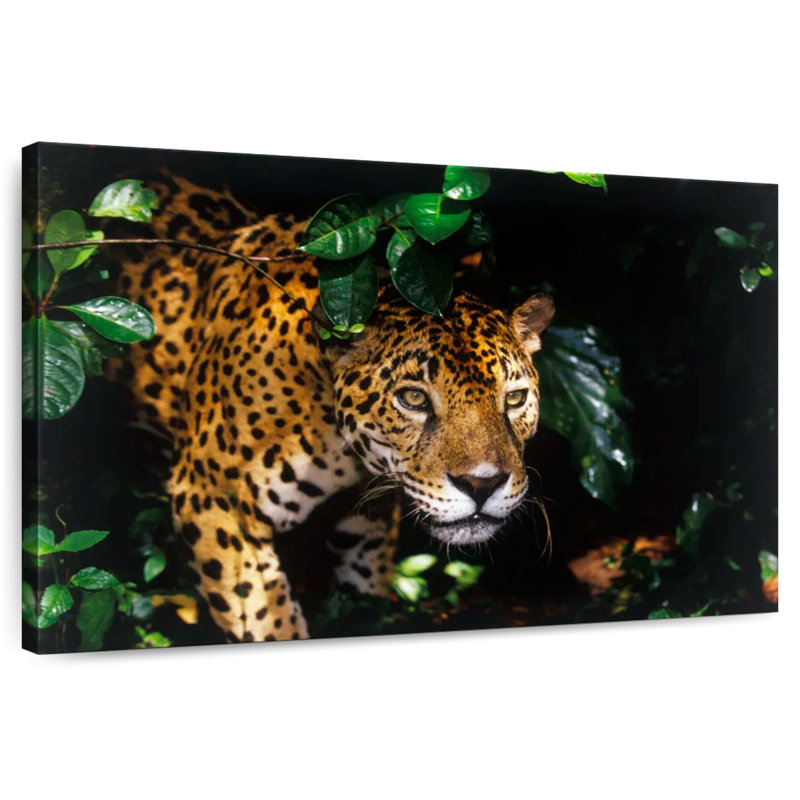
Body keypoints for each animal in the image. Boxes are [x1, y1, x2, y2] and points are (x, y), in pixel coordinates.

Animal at [112, 172, 555, 643]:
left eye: (514, 399)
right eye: (414, 398)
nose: (482, 484)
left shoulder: (367, 522)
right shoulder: (213, 501)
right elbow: (269, 619)